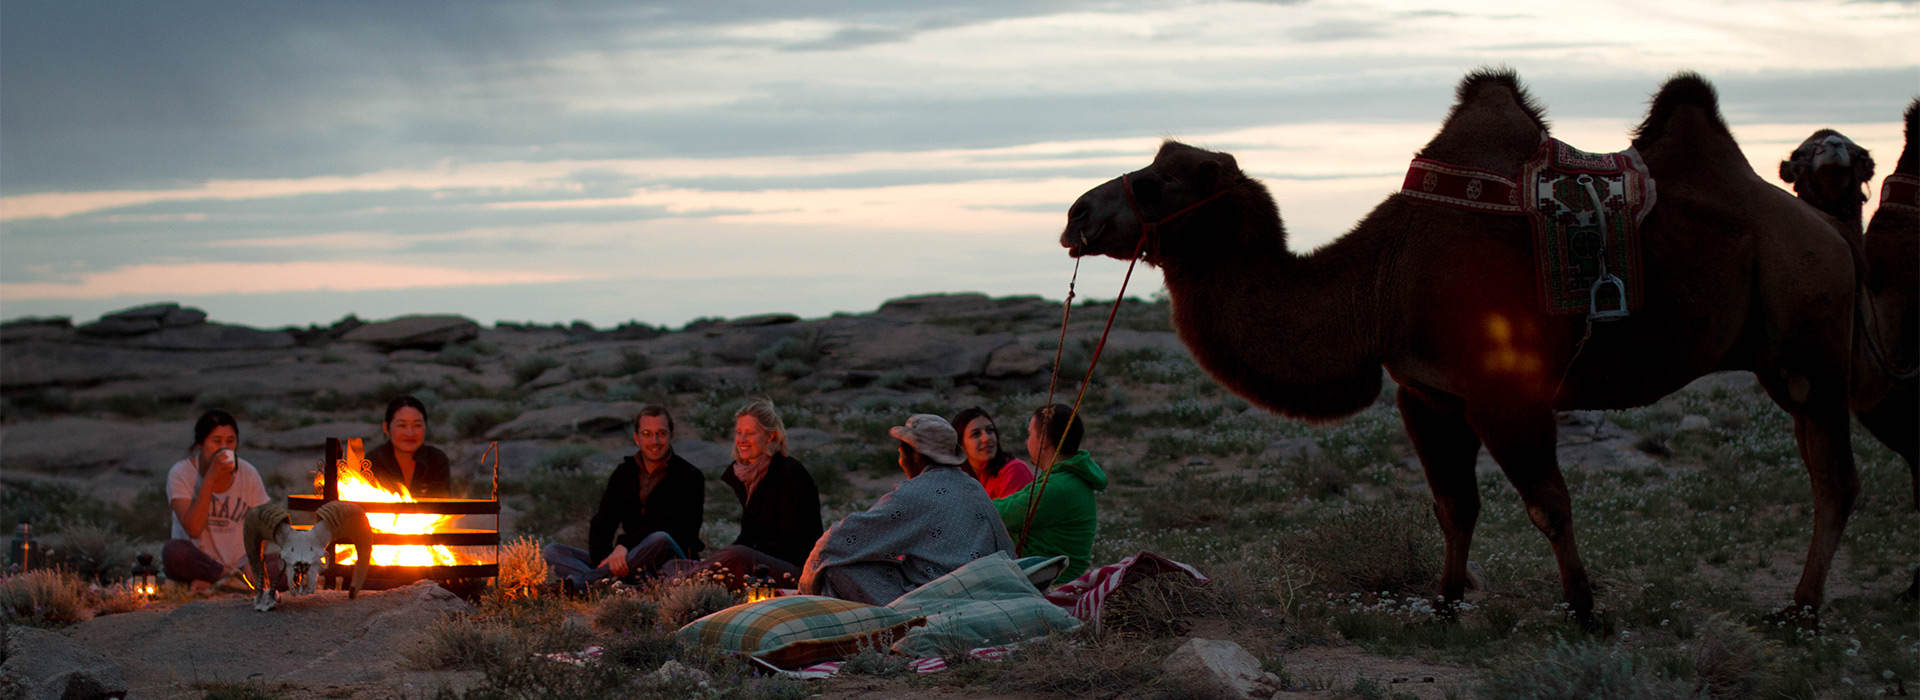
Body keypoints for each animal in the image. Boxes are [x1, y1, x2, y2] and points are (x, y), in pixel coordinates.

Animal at [1059, 70, 1866, 617]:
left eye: (1158, 182)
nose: (1077, 215)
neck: (1379, 282)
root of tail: (1829, 233)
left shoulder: (1505, 388)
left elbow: (1548, 502)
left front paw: (1584, 609)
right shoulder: (1427, 391)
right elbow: (1454, 504)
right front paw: (1446, 602)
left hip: (1814, 346)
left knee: (1835, 479)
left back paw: (1802, 609)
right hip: (1784, 360)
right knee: (1825, 469)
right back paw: (1801, 601)